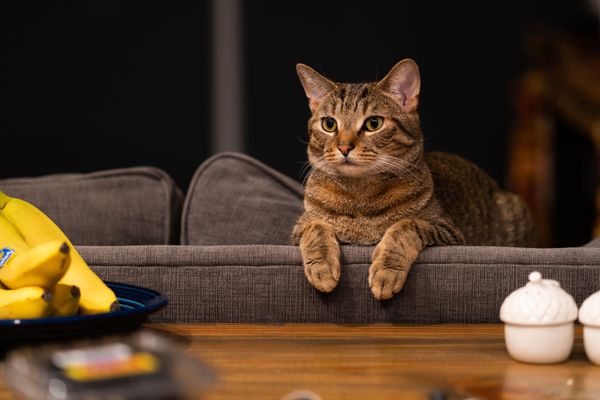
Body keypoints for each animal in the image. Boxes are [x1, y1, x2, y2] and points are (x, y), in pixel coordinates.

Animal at [290, 59, 536, 300]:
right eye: (329, 124)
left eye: (373, 123)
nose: (344, 147)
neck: (359, 196)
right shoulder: (298, 228)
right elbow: (315, 227)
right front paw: (321, 268)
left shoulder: (449, 231)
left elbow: (407, 225)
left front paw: (387, 272)